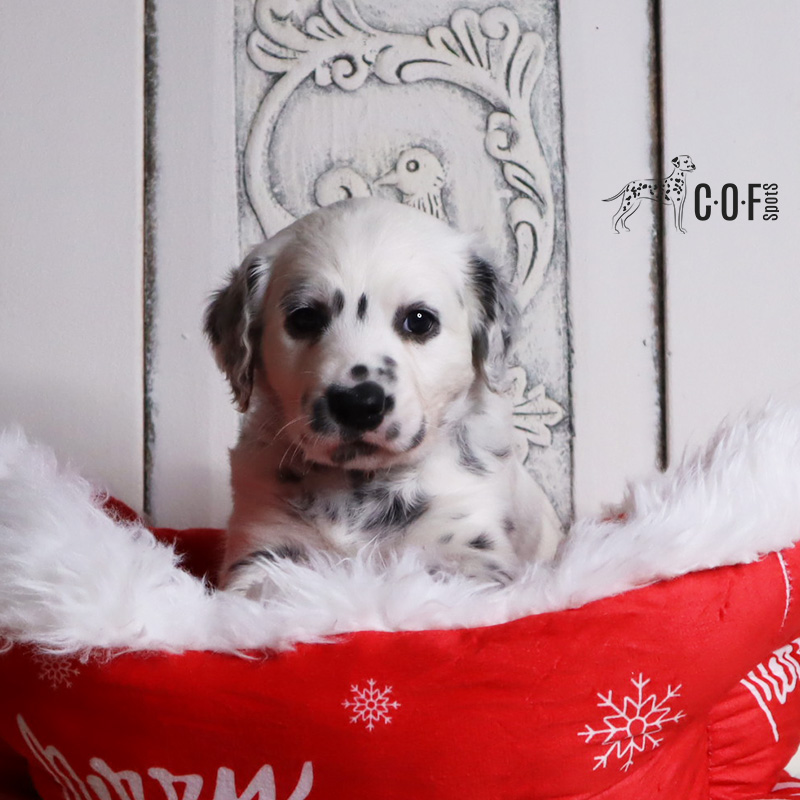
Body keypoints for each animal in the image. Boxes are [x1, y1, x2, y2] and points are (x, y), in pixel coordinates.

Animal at [205, 198, 563, 599]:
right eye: (304, 319)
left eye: (419, 320)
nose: (358, 404)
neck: (358, 483)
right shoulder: (265, 548)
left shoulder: (466, 553)